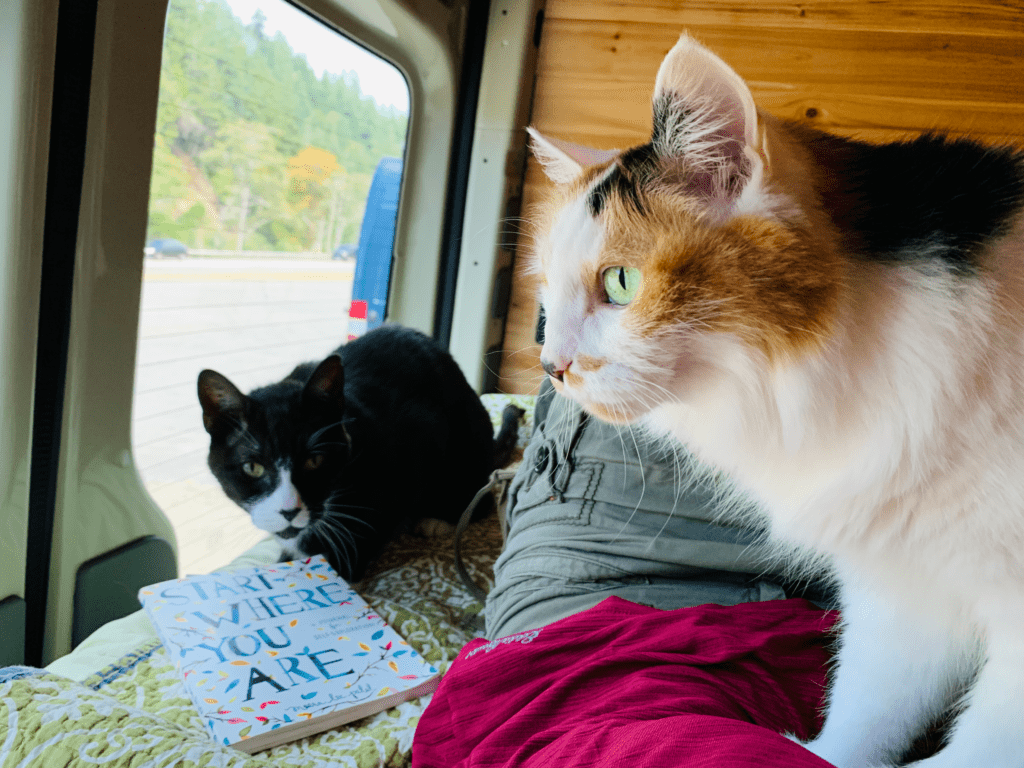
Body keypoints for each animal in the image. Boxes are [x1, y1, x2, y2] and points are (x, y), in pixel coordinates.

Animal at [195, 325, 499, 581]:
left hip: (469, 440)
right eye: (252, 467)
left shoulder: (422, 435)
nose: (289, 511)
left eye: (315, 460)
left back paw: (436, 520)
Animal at [528, 31, 1024, 768]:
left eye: (620, 283)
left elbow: (977, 748)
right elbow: (868, 707)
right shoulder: (904, 591)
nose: (551, 366)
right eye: (547, 294)